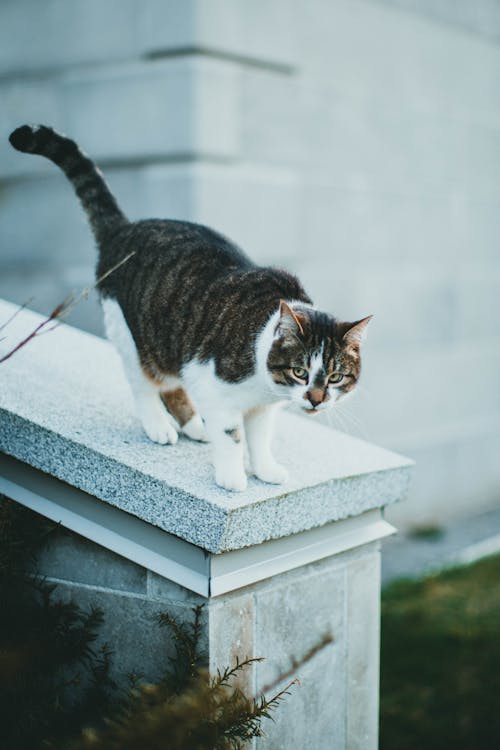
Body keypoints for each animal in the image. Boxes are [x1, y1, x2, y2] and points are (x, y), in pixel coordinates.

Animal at [8, 125, 372, 494]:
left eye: (336, 377)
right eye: (300, 371)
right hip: (133, 336)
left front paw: (265, 469)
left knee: (172, 384)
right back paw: (160, 426)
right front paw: (232, 477)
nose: (316, 399)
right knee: (144, 382)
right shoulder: (212, 384)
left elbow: (260, 437)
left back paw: (195, 425)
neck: (265, 381)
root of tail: (124, 228)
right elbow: (231, 434)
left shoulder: (261, 407)